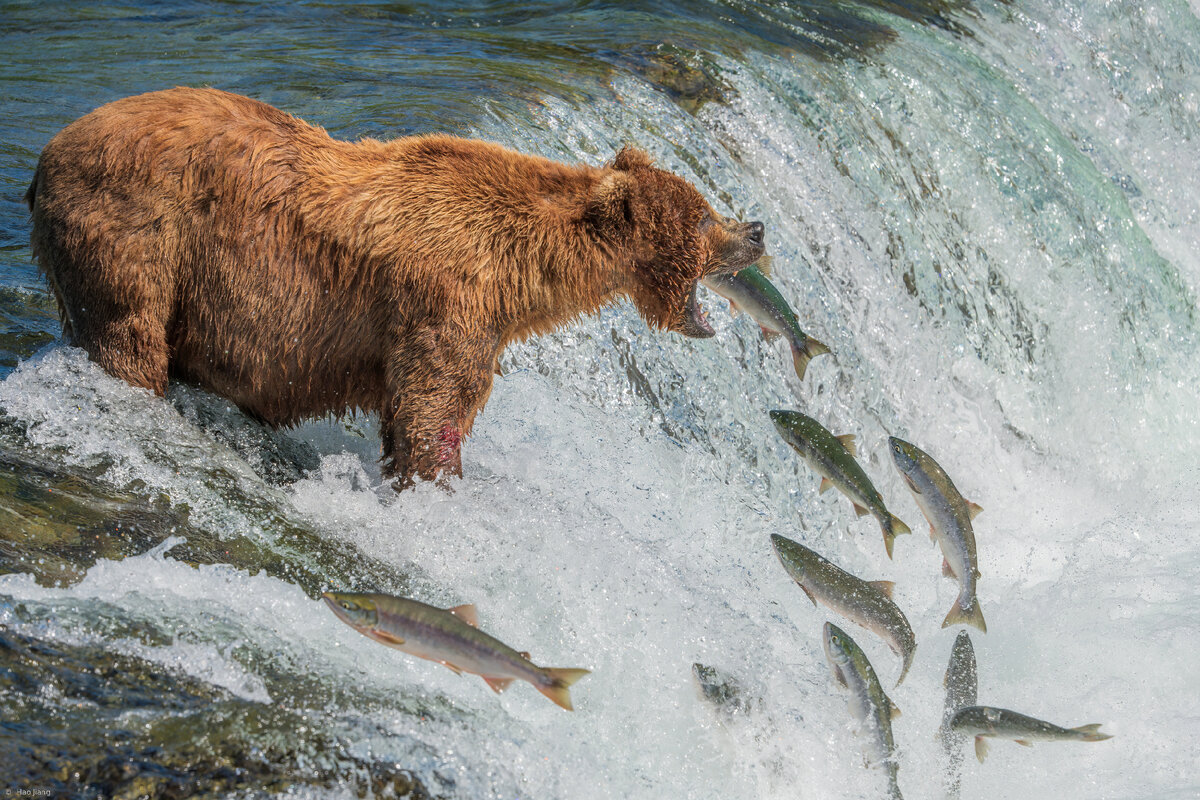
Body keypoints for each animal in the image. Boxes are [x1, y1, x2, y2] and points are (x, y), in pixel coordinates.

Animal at [28, 89, 763, 489]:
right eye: (704, 216)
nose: (755, 229)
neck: (522, 273)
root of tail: (48, 155)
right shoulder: (446, 306)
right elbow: (434, 410)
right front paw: (437, 482)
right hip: (137, 231)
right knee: (129, 334)